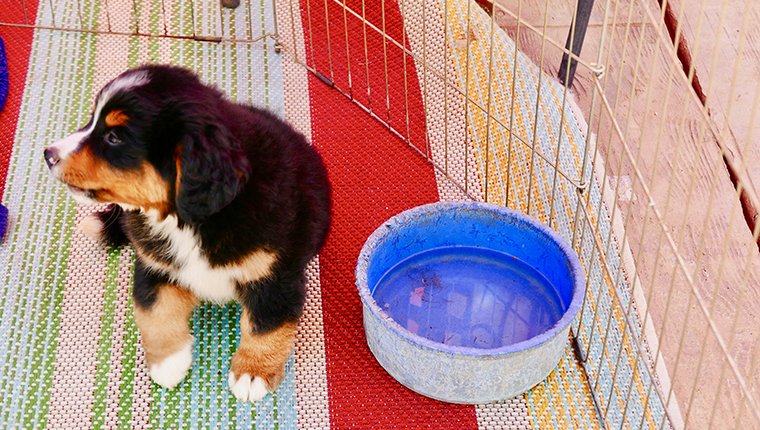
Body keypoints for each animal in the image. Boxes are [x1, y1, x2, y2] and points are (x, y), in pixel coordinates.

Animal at [43, 64, 332, 404]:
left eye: (114, 138)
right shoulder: (155, 265)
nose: (48, 154)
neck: (185, 221)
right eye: (91, 122)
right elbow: (155, 312)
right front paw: (168, 364)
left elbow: (265, 327)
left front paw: (252, 373)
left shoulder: (274, 278)